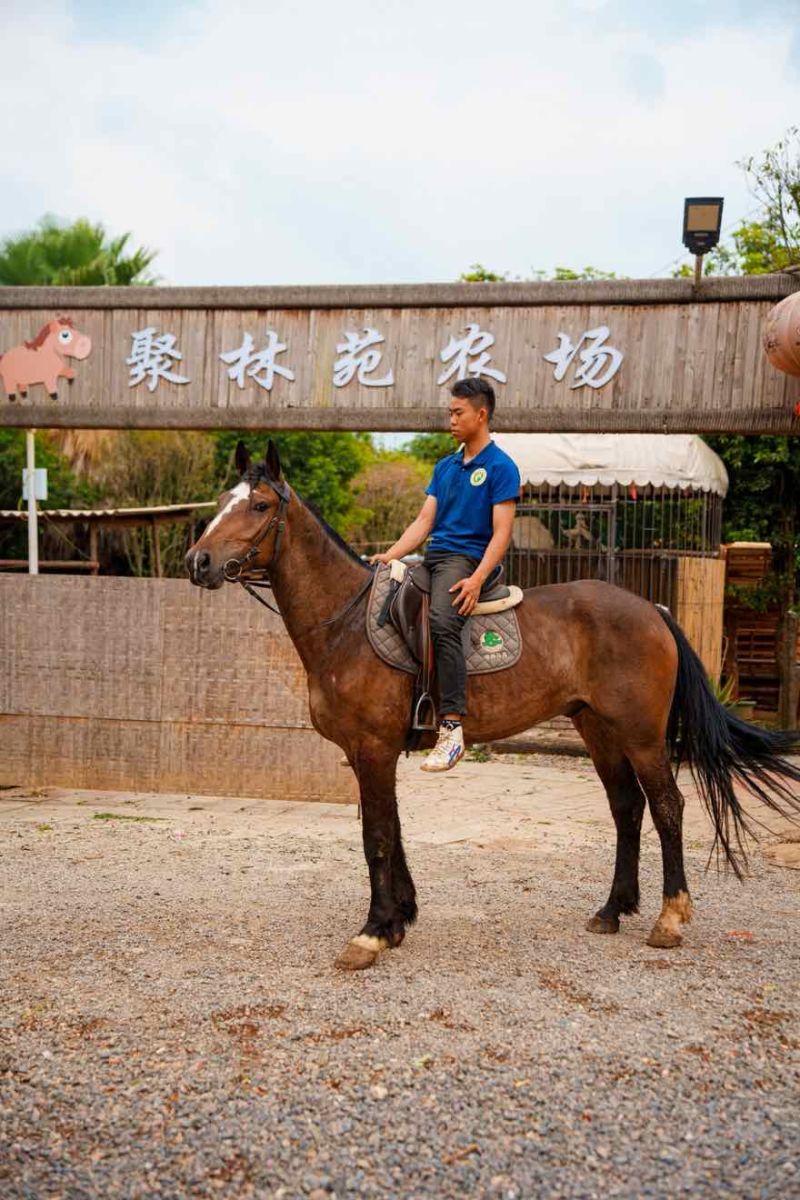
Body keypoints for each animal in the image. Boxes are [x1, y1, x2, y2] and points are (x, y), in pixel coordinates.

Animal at [185, 440, 800, 971]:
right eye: (219, 503)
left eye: (260, 505)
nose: (198, 562)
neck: (347, 622)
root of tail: (652, 609)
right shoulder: (370, 755)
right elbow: (394, 829)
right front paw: (399, 918)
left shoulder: (373, 749)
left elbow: (377, 838)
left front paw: (373, 933)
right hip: (598, 729)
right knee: (627, 808)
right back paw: (611, 910)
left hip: (641, 733)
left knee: (668, 807)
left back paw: (670, 919)